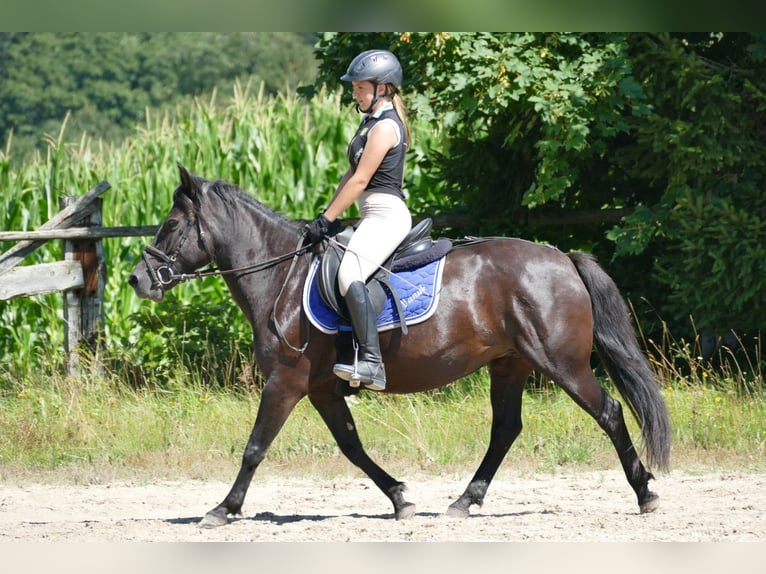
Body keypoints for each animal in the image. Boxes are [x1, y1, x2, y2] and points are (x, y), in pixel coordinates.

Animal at [130, 164, 672, 528]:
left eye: (172, 226)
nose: (138, 279)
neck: (281, 275)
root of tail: (561, 257)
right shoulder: (322, 386)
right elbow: (351, 445)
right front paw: (400, 498)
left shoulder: (286, 381)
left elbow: (254, 447)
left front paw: (223, 508)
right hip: (510, 364)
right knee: (505, 430)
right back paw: (464, 501)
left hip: (563, 364)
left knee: (609, 412)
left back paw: (645, 494)